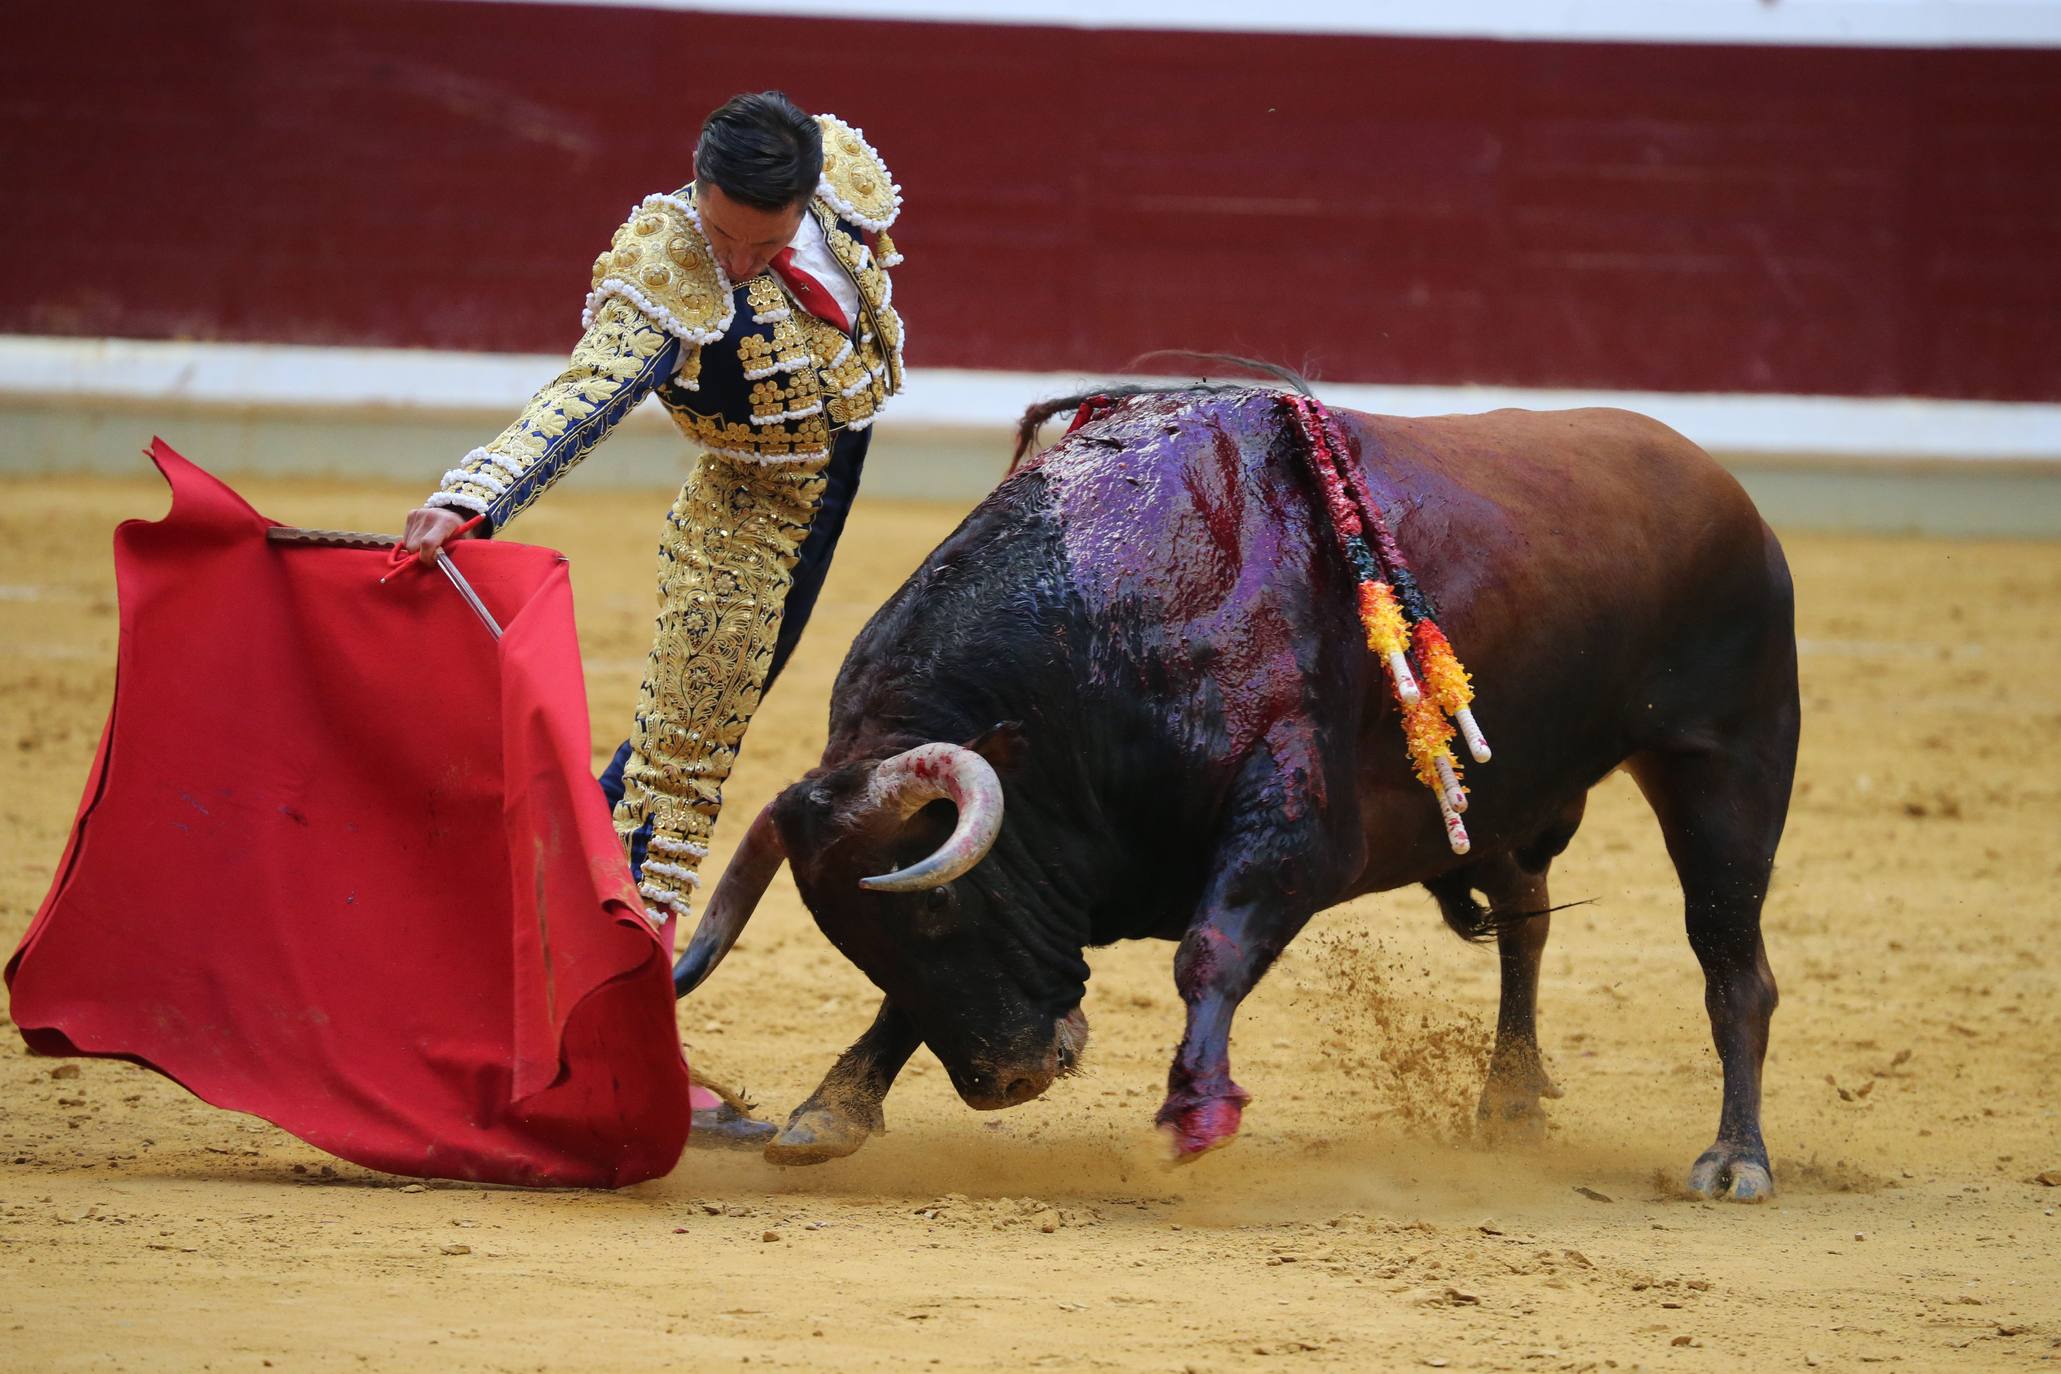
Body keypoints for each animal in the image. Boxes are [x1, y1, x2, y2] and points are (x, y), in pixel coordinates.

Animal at [671, 379, 1788, 1203]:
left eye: (941, 908)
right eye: (848, 937)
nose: (1006, 1084)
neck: (1099, 630)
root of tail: (1723, 487)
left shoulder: (1296, 830)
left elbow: (1210, 949)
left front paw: (1196, 1114)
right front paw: (830, 1109)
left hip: (1728, 764)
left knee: (1731, 960)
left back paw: (1735, 1158)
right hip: (1507, 798)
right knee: (1527, 920)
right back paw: (1508, 1103)